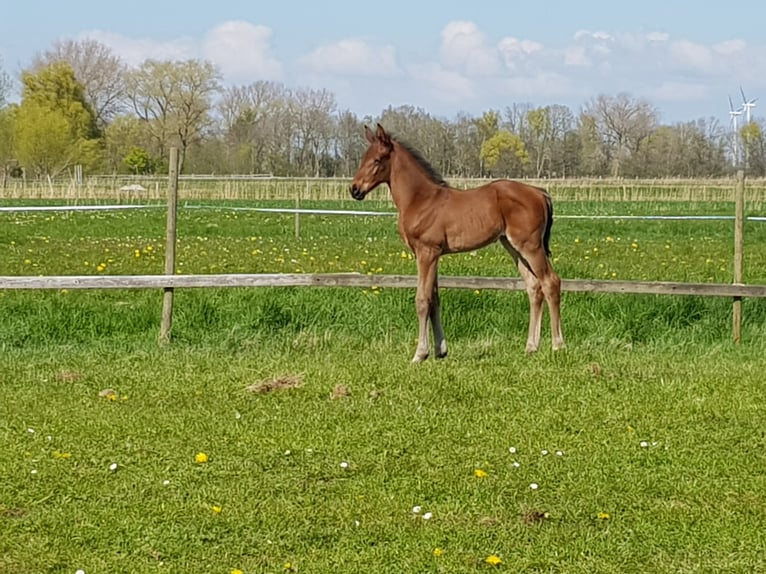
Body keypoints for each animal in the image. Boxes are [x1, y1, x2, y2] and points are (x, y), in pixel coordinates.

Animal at [350, 124, 564, 362]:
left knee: (551, 282)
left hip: (531, 246)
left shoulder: (427, 252)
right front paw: (440, 350)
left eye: (377, 160)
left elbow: (422, 300)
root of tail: (540, 193)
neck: (421, 199)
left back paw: (557, 345)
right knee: (534, 287)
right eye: (363, 158)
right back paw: (531, 347)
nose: (354, 189)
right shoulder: (430, 255)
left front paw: (420, 354)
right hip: (514, 247)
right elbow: (434, 299)